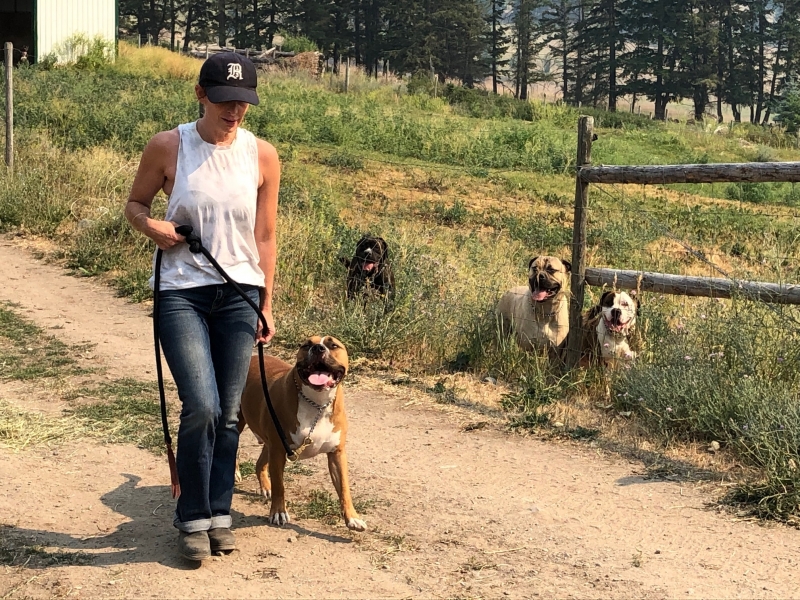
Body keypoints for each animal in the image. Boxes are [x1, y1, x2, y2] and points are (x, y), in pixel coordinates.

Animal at [234, 338, 366, 528]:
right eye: (306, 345)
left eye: (333, 345)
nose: (318, 348)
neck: (317, 403)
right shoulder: (279, 452)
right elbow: (280, 485)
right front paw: (279, 513)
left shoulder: (336, 454)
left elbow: (344, 489)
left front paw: (352, 517)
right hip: (239, 423)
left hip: (271, 442)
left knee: (260, 463)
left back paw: (266, 487)